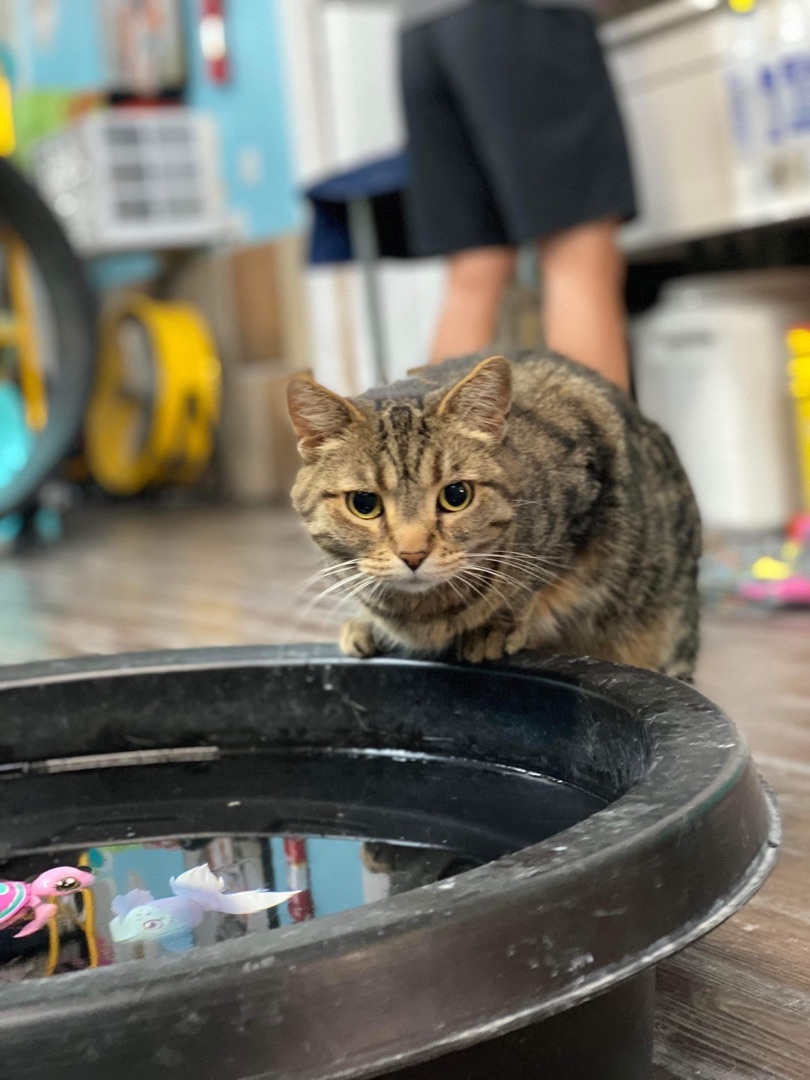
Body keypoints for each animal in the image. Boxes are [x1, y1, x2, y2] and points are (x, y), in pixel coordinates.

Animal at [288, 351, 701, 680]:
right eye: (364, 503)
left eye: (456, 496)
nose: (413, 555)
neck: (423, 614)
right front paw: (366, 624)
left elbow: (535, 579)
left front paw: (496, 626)